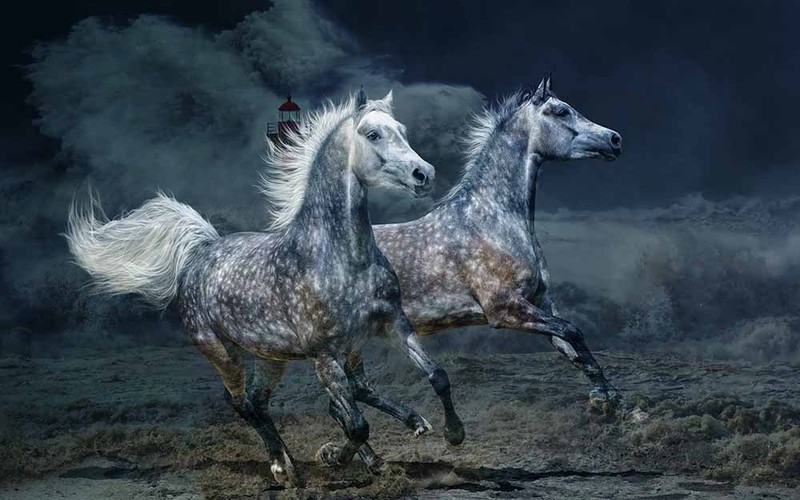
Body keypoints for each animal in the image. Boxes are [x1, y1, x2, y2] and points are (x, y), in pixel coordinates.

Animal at [66, 89, 464, 488]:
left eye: (403, 130)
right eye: (372, 134)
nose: (424, 174)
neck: (340, 257)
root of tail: (201, 251)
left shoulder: (392, 325)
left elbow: (436, 376)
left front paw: (451, 433)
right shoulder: (324, 356)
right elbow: (356, 424)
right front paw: (334, 457)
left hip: (272, 355)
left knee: (266, 401)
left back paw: (301, 459)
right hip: (221, 351)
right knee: (242, 403)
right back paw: (281, 467)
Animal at [322, 77, 623, 430]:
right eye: (561, 111)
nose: (614, 140)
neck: (492, 220)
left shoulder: (540, 303)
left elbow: (574, 346)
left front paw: (609, 398)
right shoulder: (504, 310)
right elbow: (572, 331)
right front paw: (603, 400)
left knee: (352, 393)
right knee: (347, 396)